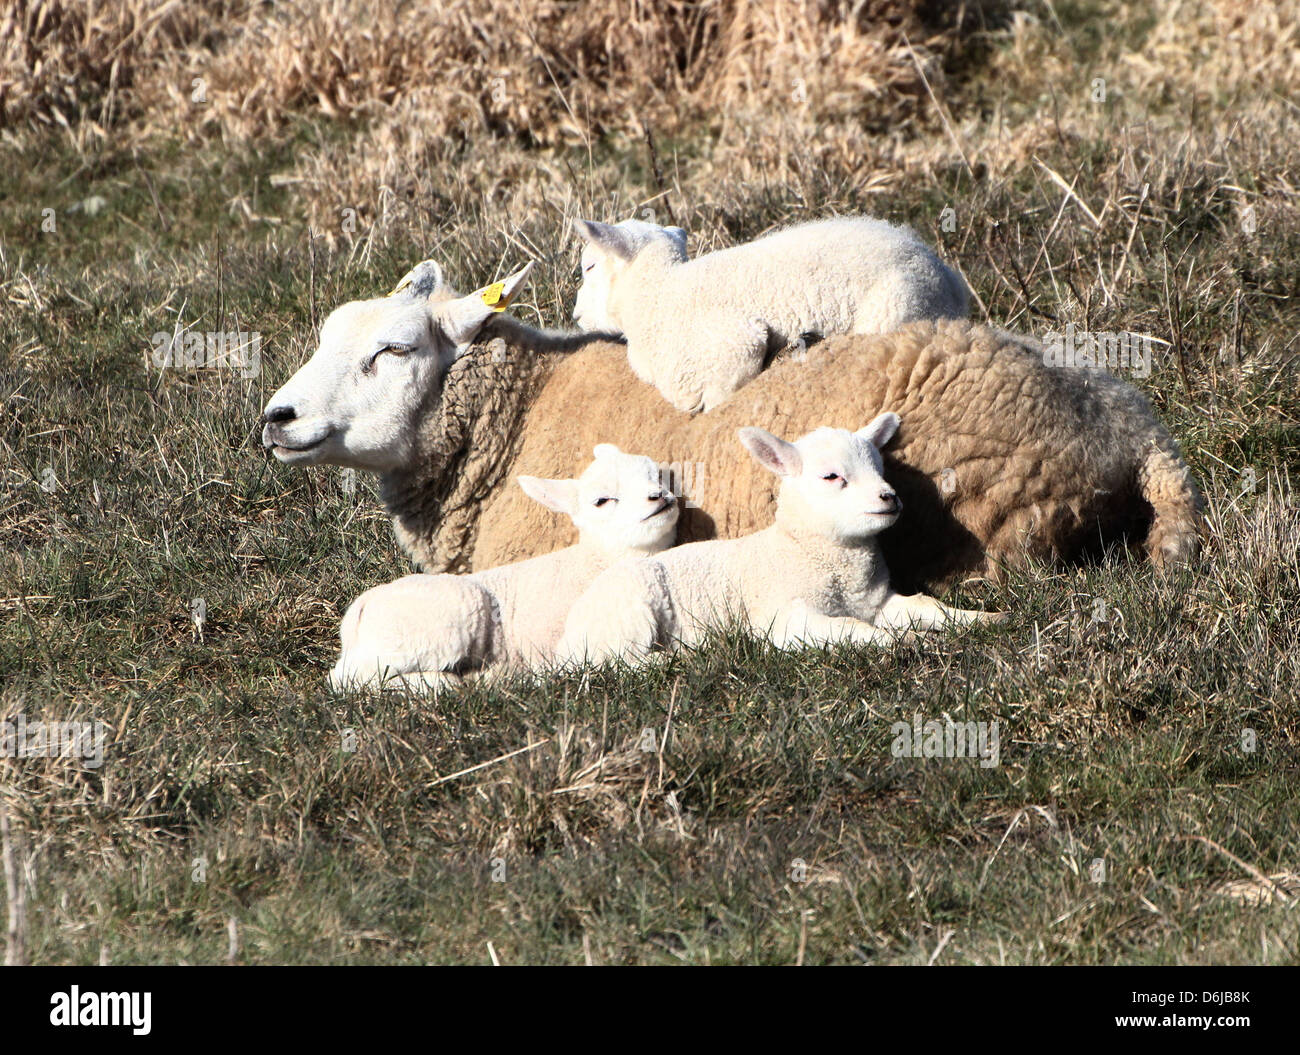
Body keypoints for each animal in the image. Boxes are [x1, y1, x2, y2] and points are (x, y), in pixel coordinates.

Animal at [330, 441, 681, 691]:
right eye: (602, 501)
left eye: (657, 475)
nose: (659, 496)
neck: (601, 557)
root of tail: (359, 611)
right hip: (431, 626)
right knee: (350, 679)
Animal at [553, 415, 998, 662]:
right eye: (831, 476)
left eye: (879, 467)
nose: (890, 498)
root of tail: (568, 637)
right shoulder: (785, 619)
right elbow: (853, 629)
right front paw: (903, 641)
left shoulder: (879, 601)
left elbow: (926, 606)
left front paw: (980, 619)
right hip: (628, 616)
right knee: (617, 663)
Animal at [574, 214, 972, 413]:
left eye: (589, 266)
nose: (575, 315)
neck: (655, 295)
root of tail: (946, 278)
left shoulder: (733, 345)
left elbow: (718, 398)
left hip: (897, 307)